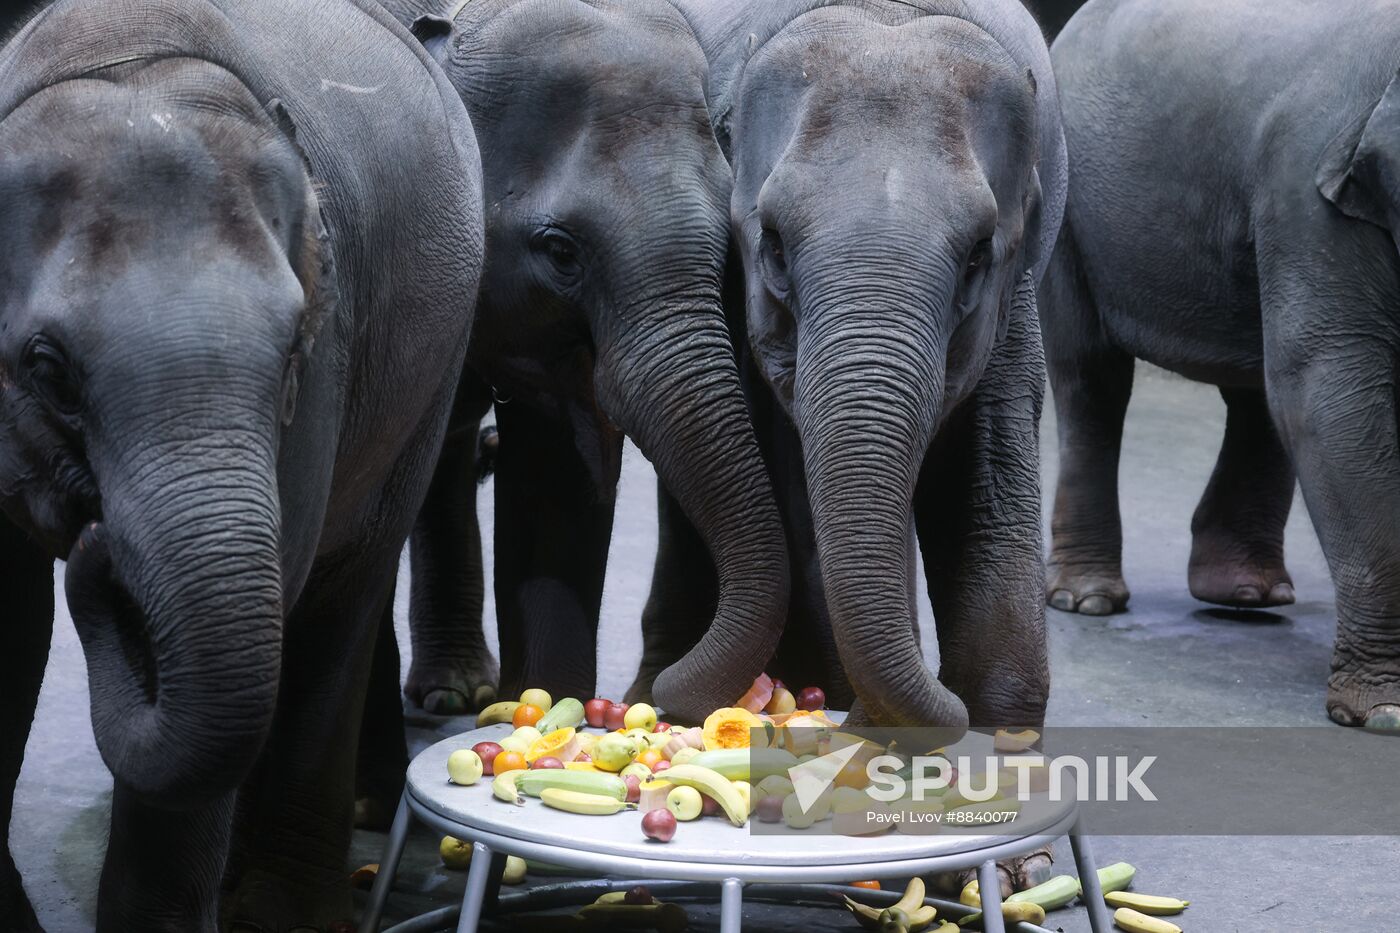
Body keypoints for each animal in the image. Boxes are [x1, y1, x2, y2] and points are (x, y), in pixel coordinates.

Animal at [0, 0, 487, 924]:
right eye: (46, 367)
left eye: (293, 345)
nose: (94, 544)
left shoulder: (327, 357)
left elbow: (282, 571)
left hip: (433, 375)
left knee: (341, 596)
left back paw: (278, 908)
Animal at [366, 0, 795, 722]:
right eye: (561, 250)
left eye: (728, 245)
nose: (665, 693)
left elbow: (554, 480)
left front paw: (541, 707)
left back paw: (461, 690)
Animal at [630, 0, 1064, 739]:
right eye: (773, 244)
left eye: (979, 255)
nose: (670, 703)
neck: (886, 15)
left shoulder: (1018, 287)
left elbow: (989, 455)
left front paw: (998, 715)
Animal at [1041, 0, 1400, 728]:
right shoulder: (1311, 194)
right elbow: (1331, 388)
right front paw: (1383, 713)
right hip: (1071, 210)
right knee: (1089, 376)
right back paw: (1086, 599)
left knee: (1256, 392)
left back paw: (1246, 594)